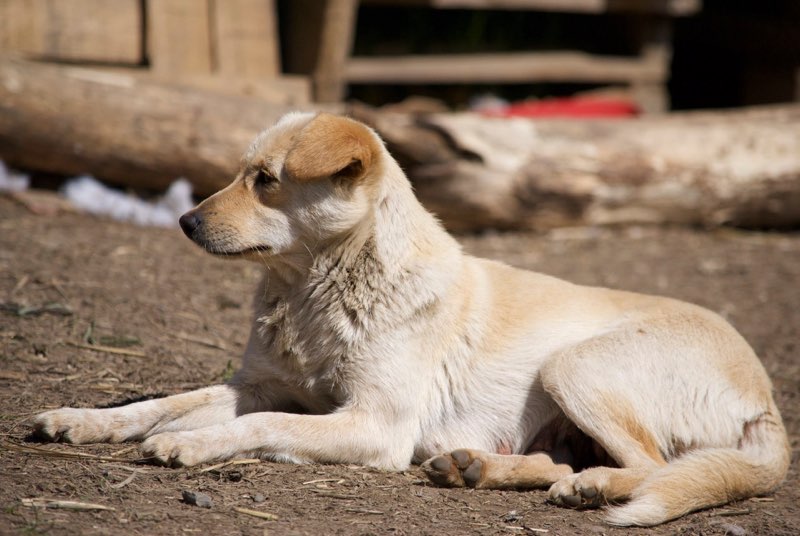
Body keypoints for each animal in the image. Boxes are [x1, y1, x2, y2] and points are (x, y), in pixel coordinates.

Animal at [31, 111, 788, 524]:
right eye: (239, 172)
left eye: (266, 180)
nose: (184, 221)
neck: (315, 295)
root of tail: (767, 397)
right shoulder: (259, 383)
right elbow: (157, 404)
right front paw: (80, 419)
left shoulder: (375, 424)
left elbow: (259, 426)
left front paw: (191, 445)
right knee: (555, 457)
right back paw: (476, 469)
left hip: (574, 364)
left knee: (652, 466)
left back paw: (591, 486)